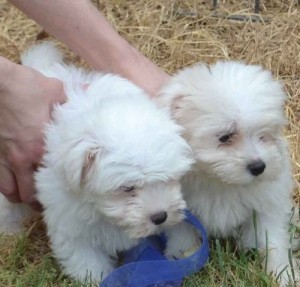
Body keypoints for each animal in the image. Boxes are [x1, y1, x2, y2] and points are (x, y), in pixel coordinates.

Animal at [0, 42, 193, 284]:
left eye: (169, 179)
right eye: (127, 188)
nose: (160, 216)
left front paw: (183, 251)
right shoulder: (71, 225)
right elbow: (87, 260)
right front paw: (99, 278)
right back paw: (9, 231)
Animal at [159, 61, 298, 286]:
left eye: (264, 135)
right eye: (225, 137)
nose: (259, 167)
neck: (221, 182)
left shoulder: (266, 205)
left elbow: (272, 238)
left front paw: (283, 273)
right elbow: (182, 237)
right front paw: (180, 260)